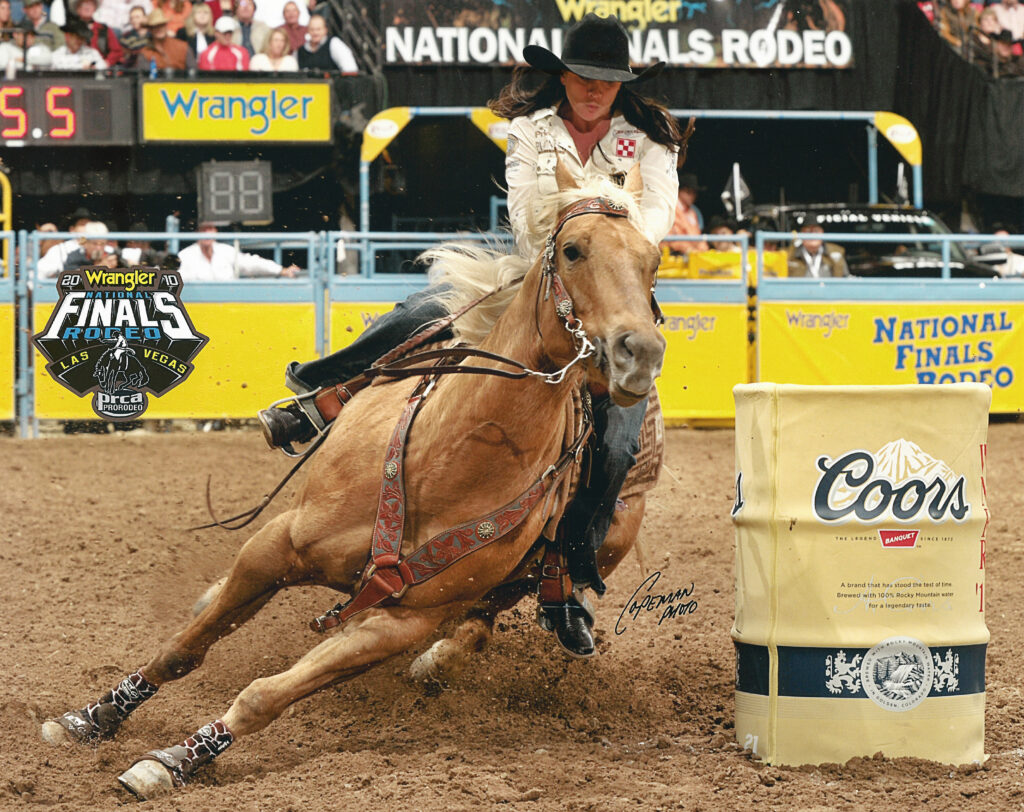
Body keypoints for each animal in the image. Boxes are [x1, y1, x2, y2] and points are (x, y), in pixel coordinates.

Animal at [40, 165, 668, 800]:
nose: (639, 352)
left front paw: (174, 761)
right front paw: (93, 717)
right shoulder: (276, 545)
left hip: (584, 553)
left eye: (653, 262)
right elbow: (182, 649)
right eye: (572, 250)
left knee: (487, 619)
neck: (448, 459)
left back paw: (442, 661)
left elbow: (266, 696)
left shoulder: (399, 621)